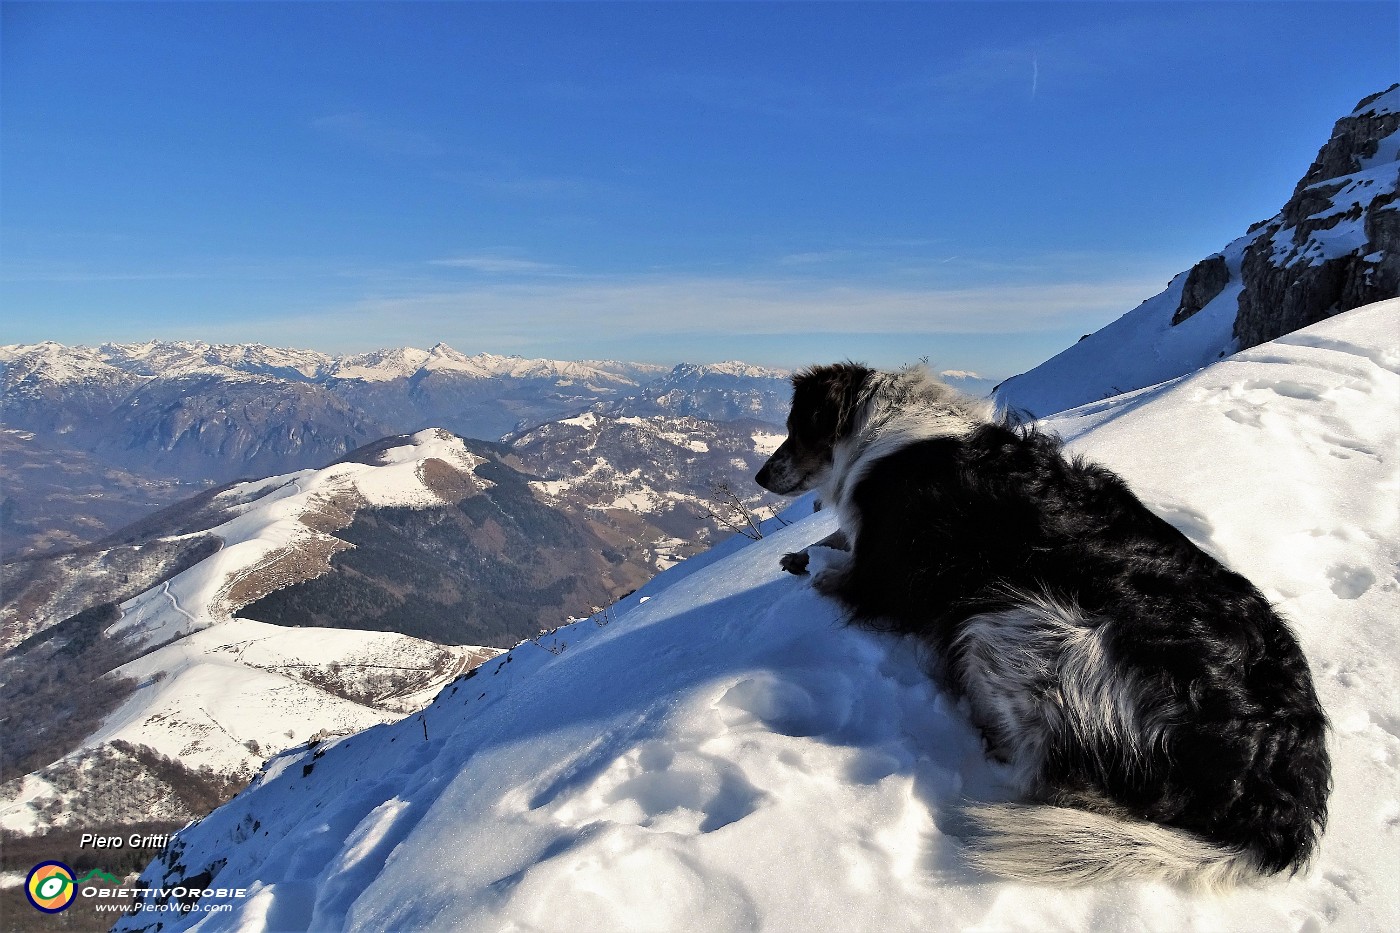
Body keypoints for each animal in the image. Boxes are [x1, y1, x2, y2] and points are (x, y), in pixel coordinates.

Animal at [761, 358, 1327, 885]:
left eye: (795, 426)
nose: (760, 476)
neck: (883, 430)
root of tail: (1280, 800)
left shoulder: (881, 576)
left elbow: (834, 567)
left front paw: (807, 565)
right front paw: (798, 553)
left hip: (1014, 628)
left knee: (1038, 770)